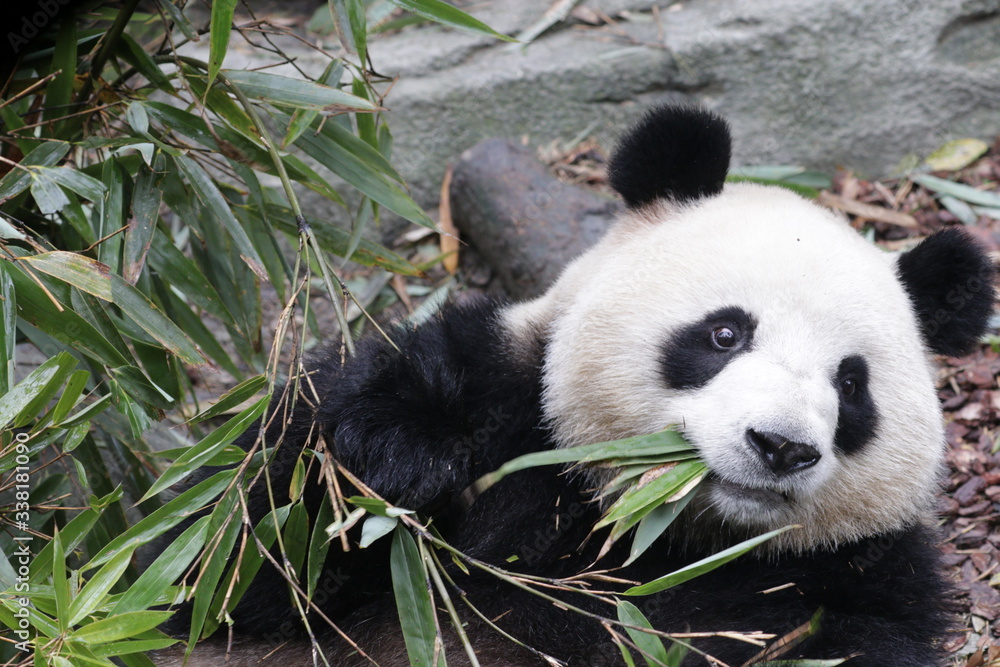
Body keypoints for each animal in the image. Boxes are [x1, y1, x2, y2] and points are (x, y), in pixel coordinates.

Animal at [156, 106, 995, 667]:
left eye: (850, 385)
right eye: (725, 334)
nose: (781, 445)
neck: (666, 537)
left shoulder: (857, 577)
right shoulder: (513, 401)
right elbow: (235, 565)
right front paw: (401, 458)